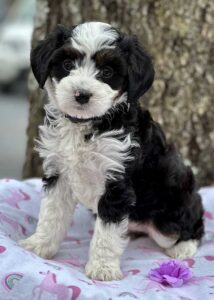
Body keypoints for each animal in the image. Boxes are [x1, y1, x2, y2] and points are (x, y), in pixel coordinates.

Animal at [19, 21, 204, 282]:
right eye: (67, 65)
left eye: (107, 72)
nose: (82, 95)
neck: (86, 125)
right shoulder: (59, 175)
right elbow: (51, 215)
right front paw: (39, 245)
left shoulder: (117, 183)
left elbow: (107, 234)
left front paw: (102, 268)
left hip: (171, 211)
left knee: (192, 225)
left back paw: (183, 247)